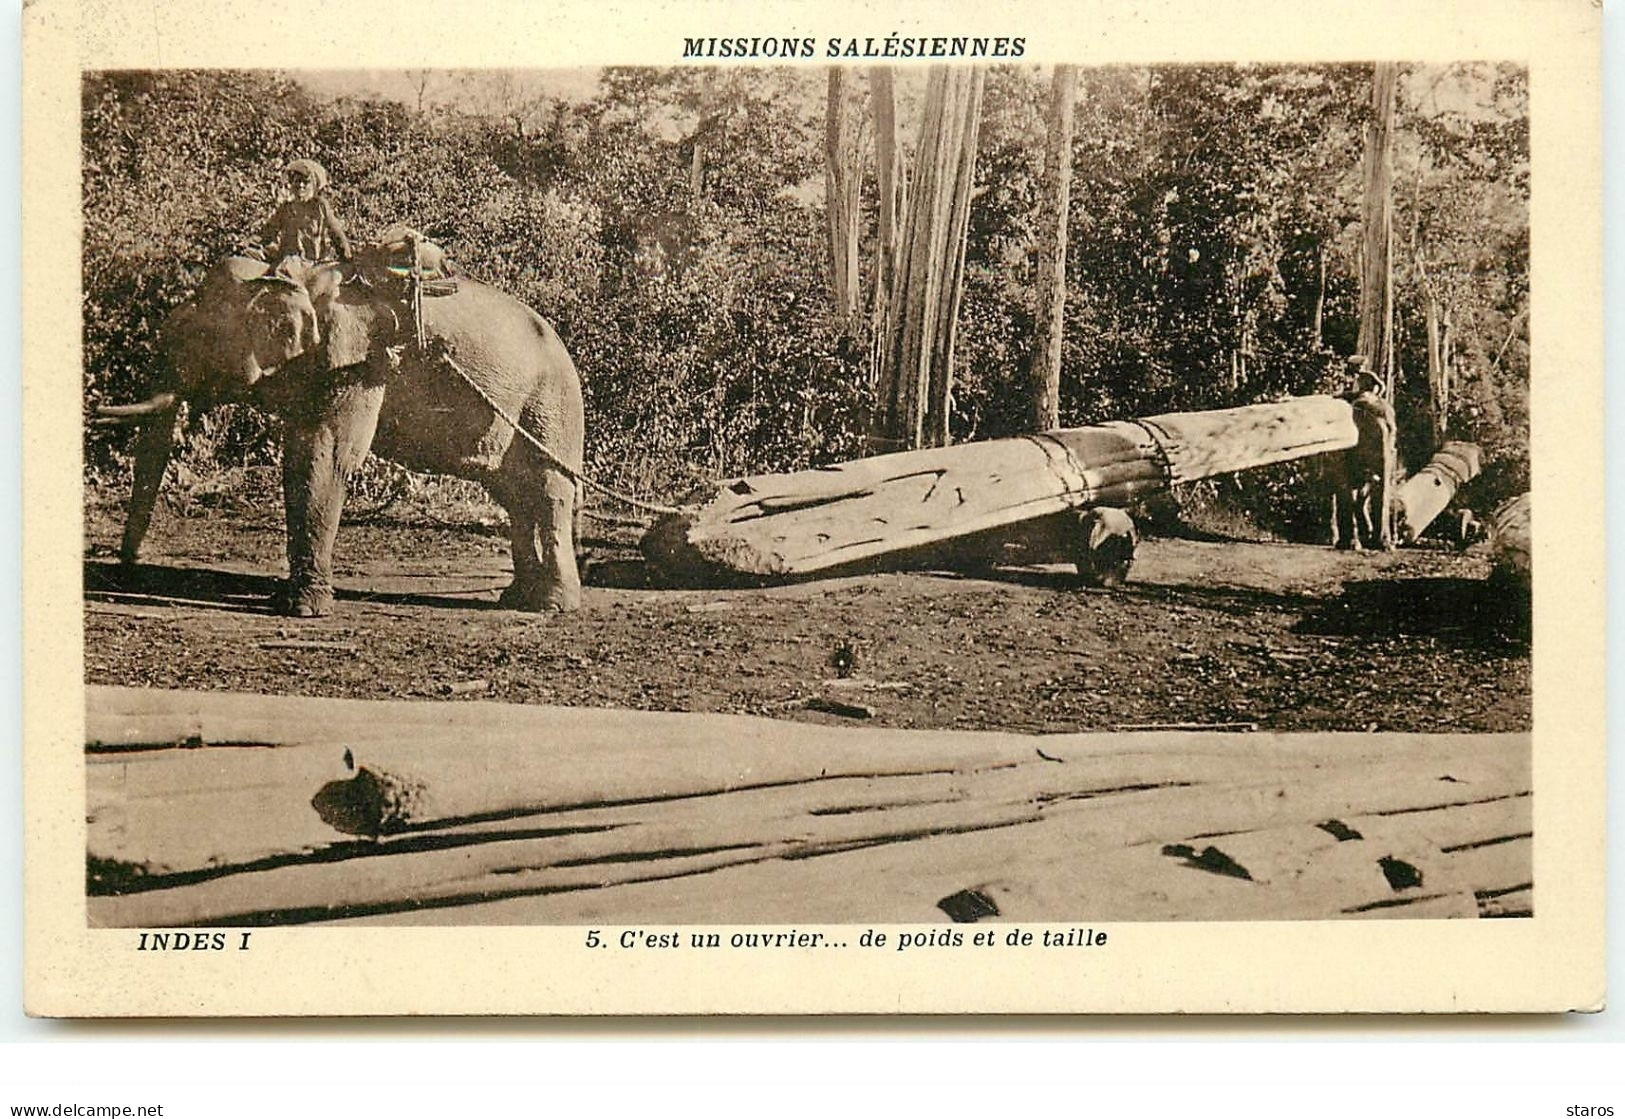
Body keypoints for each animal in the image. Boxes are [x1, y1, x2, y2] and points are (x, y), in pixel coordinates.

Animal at [98, 254, 588, 613]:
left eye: (199, 338)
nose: (129, 571)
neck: (300, 280)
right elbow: (300, 452)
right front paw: (290, 598)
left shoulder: (357, 361)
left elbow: (327, 452)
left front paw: (301, 609)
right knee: (513, 495)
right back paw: (517, 598)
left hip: (550, 407)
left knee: (548, 490)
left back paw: (551, 606)